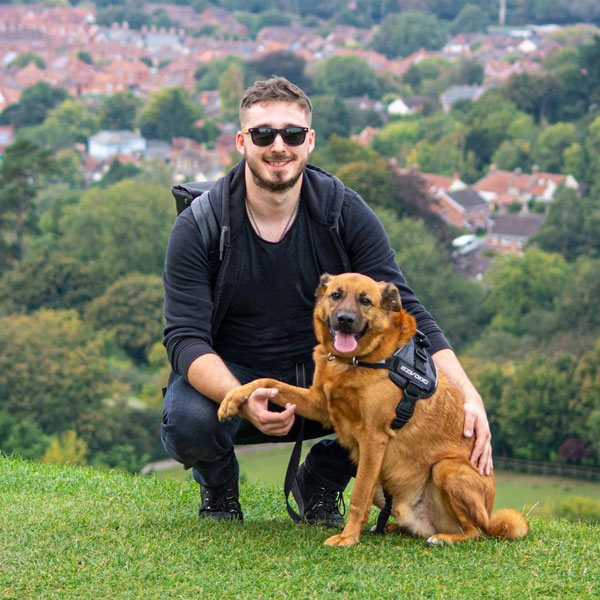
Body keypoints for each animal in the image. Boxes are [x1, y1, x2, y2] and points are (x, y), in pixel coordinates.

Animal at [218, 274, 528, 548]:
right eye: (336, 295)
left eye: (365, 300)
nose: (345, 319)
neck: (360, 360)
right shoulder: (319, 405)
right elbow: (268, 382)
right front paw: (235, 397)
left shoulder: (372, 439)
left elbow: (358, 497)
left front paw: (348, 538)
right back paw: (391, 527)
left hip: (446, 468)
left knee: (476, 531)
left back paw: (444, 538)